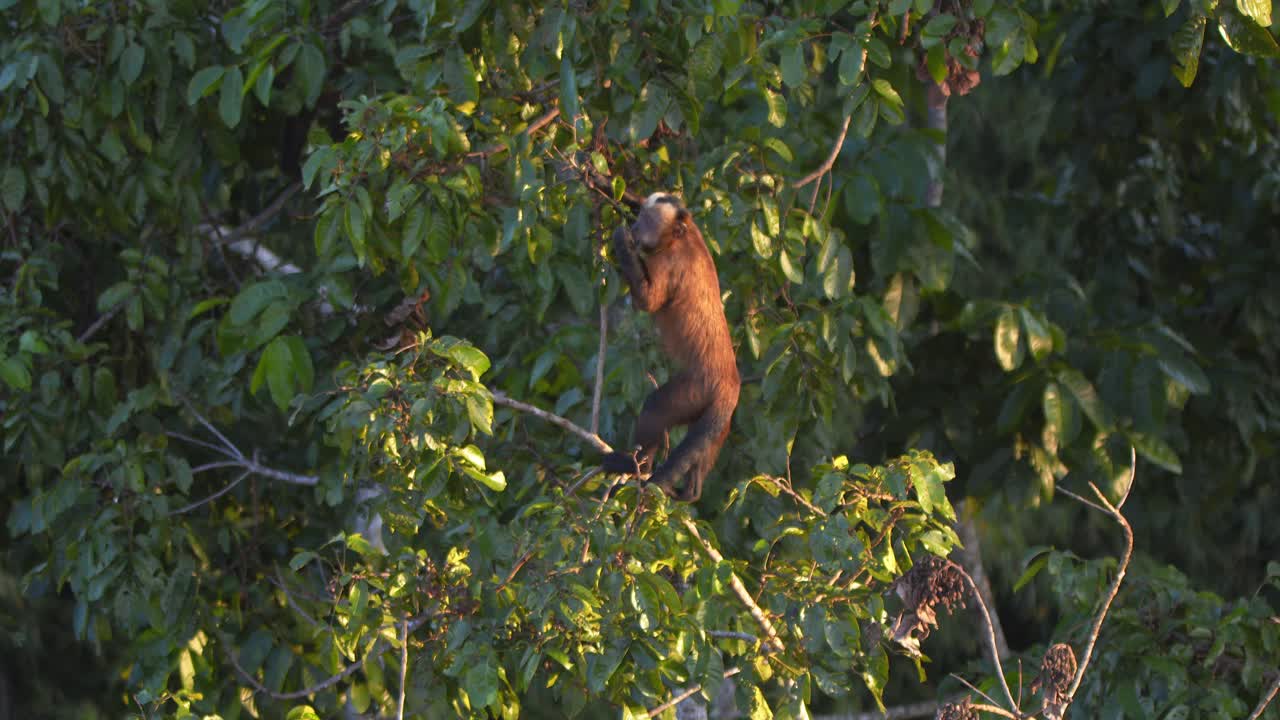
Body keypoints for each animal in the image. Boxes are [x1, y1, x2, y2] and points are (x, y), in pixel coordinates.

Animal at [601, 193, 740, 502]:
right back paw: (690, 489)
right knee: (705, 443)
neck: (681, 237)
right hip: (717, 414)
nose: (636, 228)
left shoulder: (670, 261)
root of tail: (732, 385)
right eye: (640, 217)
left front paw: (621, 240)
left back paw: (638, 465)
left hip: (697, 389)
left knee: (656, 407)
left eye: (646, 222)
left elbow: (648, 301)